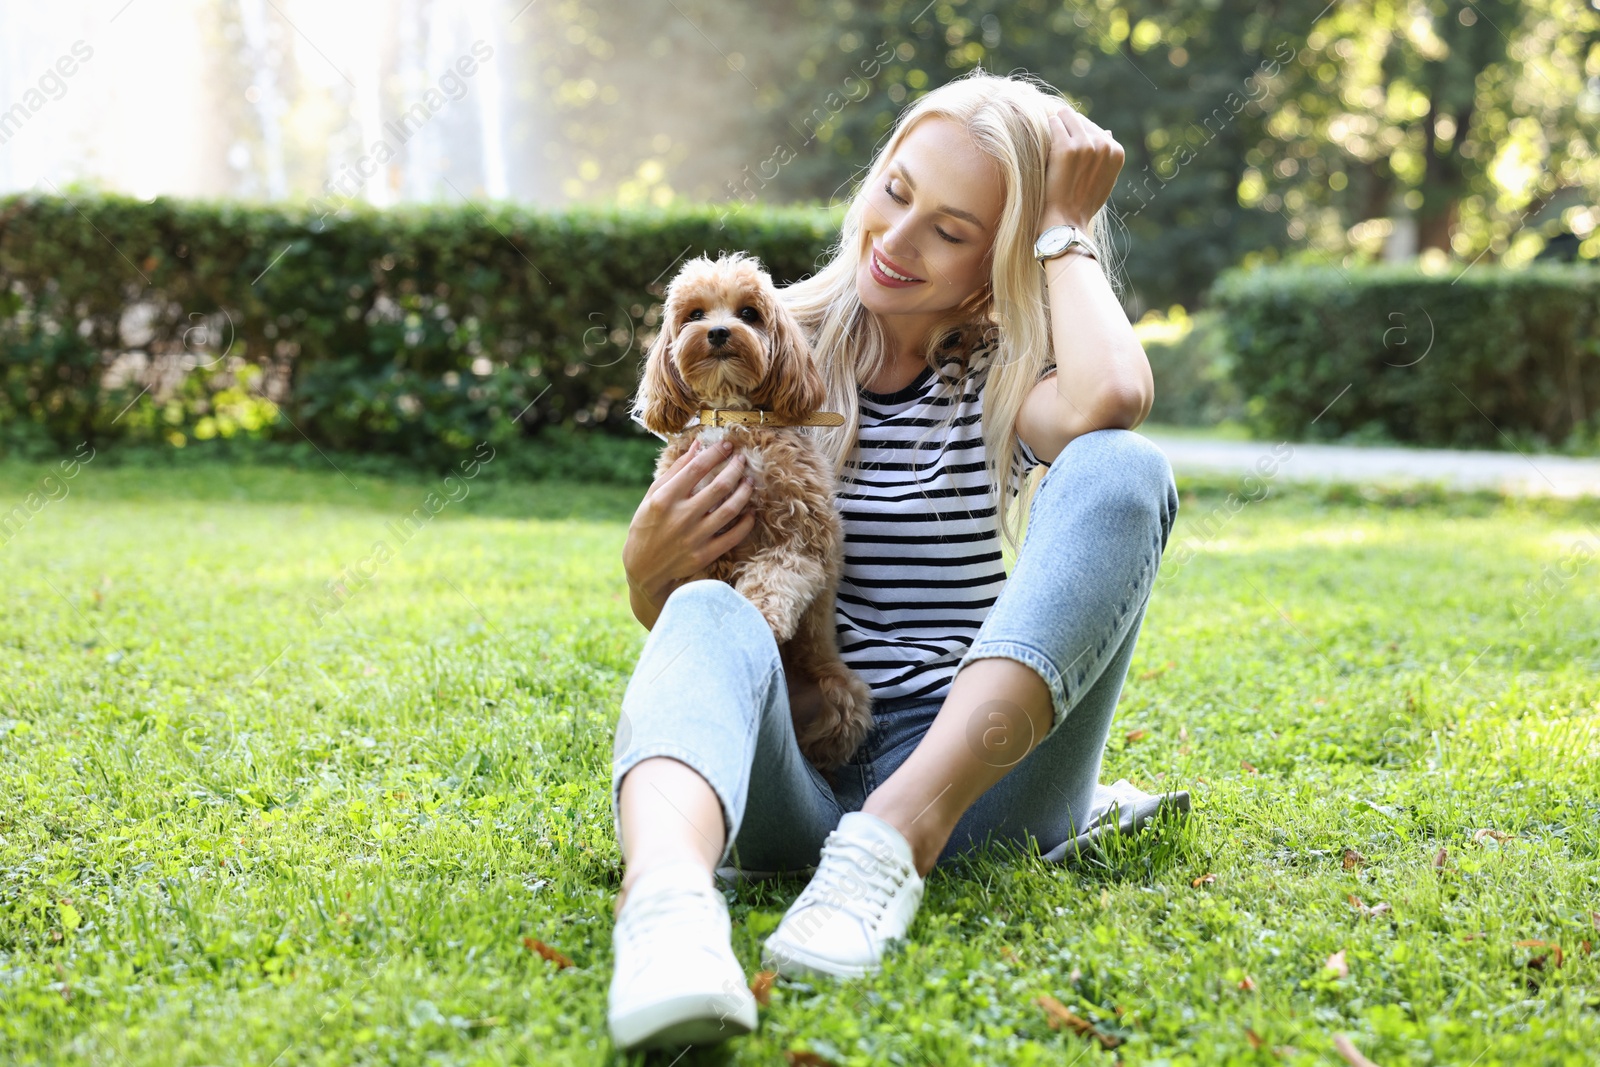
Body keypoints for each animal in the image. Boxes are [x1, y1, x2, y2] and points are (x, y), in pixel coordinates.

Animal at [633, 254, 876, 771]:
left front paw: (758, 615)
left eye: (749, 313)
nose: (719, 332)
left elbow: (774, 575)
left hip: (843, 696)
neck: (731, 417)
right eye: (695, 314)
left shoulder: (802, 537)